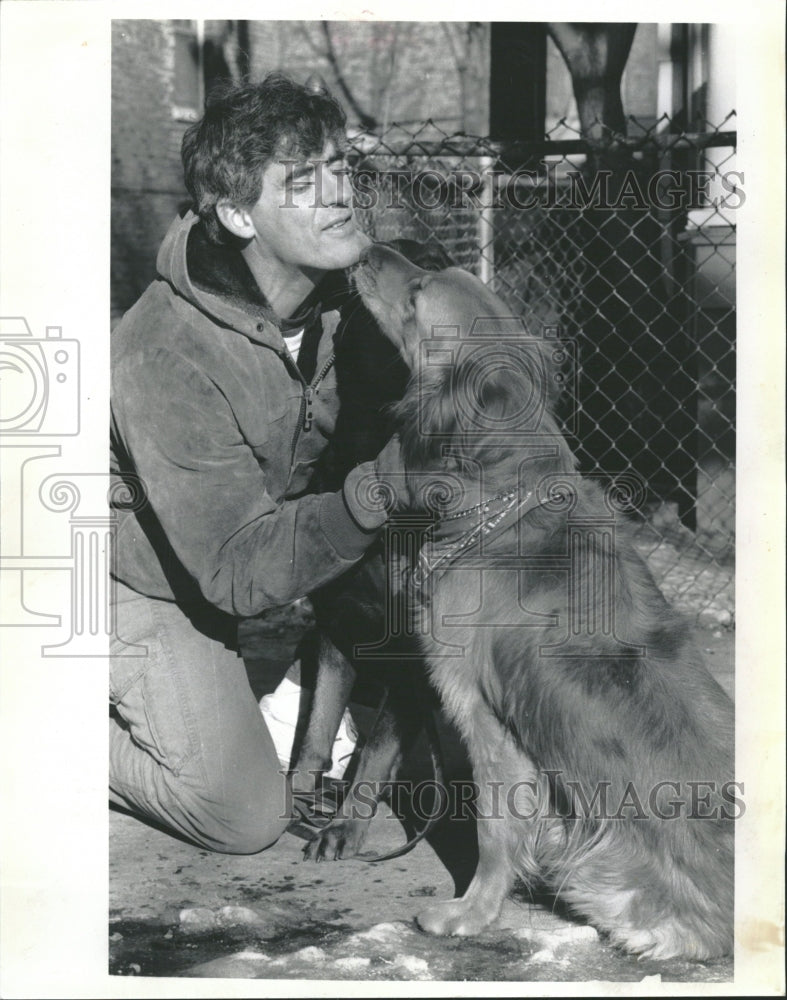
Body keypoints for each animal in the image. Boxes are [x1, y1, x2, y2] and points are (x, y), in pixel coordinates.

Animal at [348, 240, 736, 960]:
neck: (502, 500)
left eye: (417, 292)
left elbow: (495, 828)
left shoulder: (481, 713)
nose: (366, 249)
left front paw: (470, 913)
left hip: (597, 865)